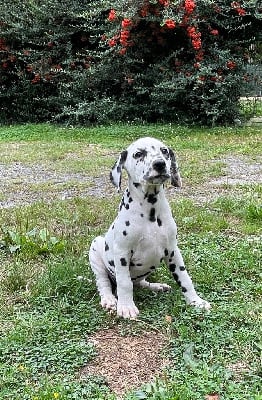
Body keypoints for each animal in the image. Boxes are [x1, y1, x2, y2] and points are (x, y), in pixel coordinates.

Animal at [89, 138, 210, 318]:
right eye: (138, 154)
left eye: (164, 151)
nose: (159, 164)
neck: (150, 211)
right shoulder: (122, 253)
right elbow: (124, 283)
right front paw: (126, 307)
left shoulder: (173, 250)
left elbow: (184, 277)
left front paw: (196, 301)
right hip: (96, 248)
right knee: (104, 283)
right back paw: (109, 300)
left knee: (140, 282)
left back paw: (156, 286)